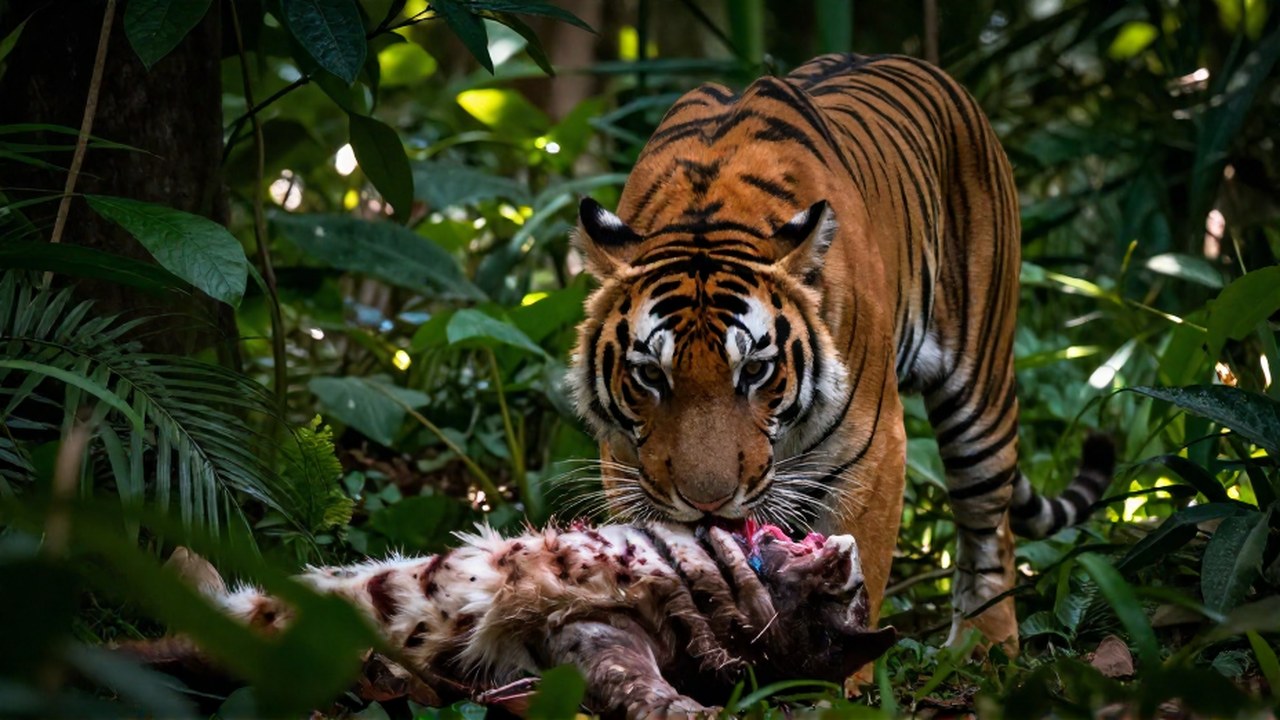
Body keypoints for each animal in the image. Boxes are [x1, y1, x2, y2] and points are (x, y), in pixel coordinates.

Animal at [567, 52, 1116, 653]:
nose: (707, 503)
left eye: (754, 371)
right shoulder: (626, 466)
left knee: (991, 530)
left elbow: (859, 591)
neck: (707, 210)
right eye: (650, 376)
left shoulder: (875, 453)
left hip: (981, 393)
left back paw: (984, 647)